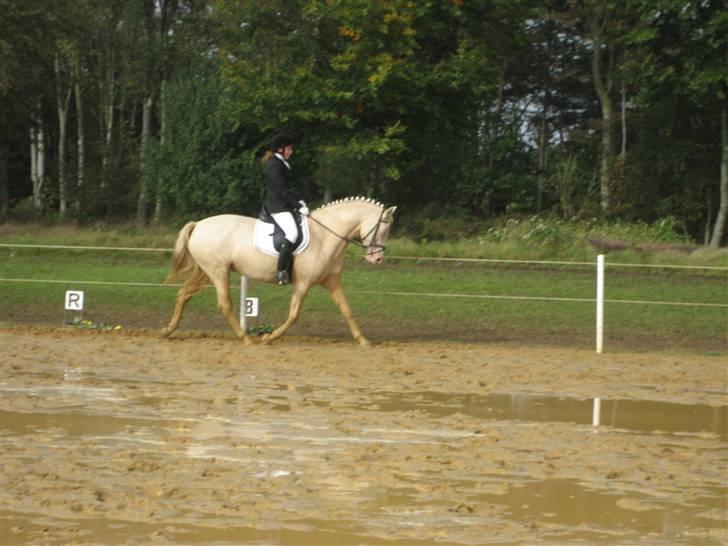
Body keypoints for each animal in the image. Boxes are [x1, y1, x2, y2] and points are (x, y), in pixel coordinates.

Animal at [161, 198, 396, 346]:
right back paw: (246, 339)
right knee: (224, 304)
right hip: (218, 271)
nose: (377, 259)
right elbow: (294, 315)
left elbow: (346, 310)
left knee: (183, 294)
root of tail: (198, 224)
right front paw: (269, 338)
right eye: (382, 229)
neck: (325, 236)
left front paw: (364, 341)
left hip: (206, 270)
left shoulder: (331, 280)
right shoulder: (303, 283)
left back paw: (168, 331)